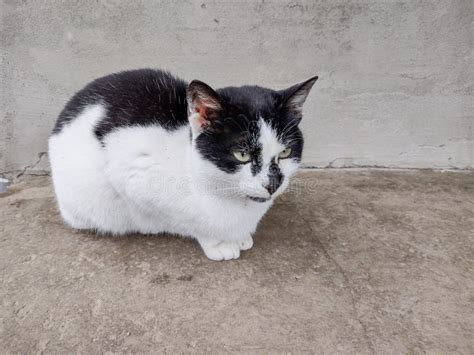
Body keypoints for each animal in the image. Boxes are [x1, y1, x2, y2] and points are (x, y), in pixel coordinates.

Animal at [48, 69, 316, 262]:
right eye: (242, 154)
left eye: (285, 152)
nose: (273, 184)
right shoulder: (134, 172)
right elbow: (185, 219)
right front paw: (218, 243)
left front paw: (240, 237)